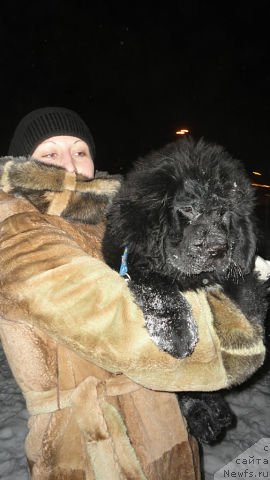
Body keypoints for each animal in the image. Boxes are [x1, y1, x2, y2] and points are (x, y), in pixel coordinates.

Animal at [102, 136, 266, 442]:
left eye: (223, 212)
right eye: (188, 209)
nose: (217, 249)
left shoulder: (237, 270)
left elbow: (245, 293)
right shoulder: (136, 261)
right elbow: (159, 289)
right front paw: (177, 334)